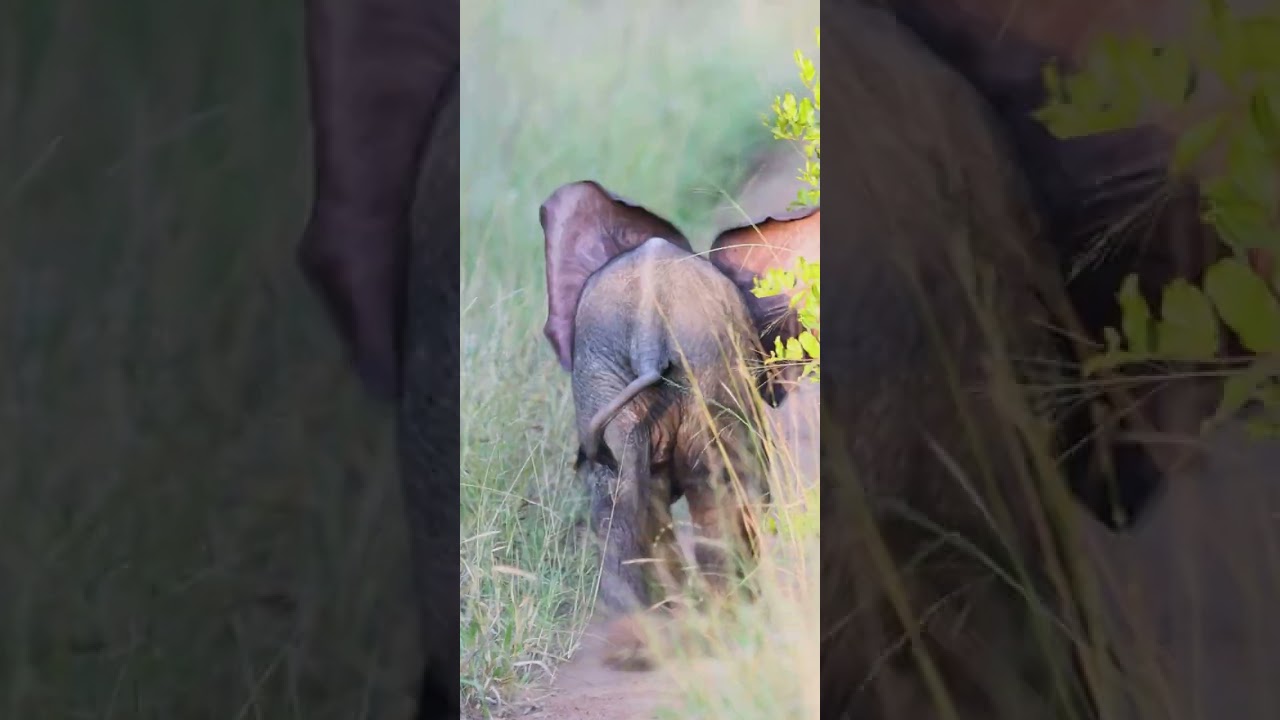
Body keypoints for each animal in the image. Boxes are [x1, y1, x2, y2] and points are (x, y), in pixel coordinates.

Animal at [539, 179, 820, 666]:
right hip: (708, 381)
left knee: (620, 505)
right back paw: (724, 624)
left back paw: (641, 641)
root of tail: (649, 333)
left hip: (610, 387)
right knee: (720, 496)